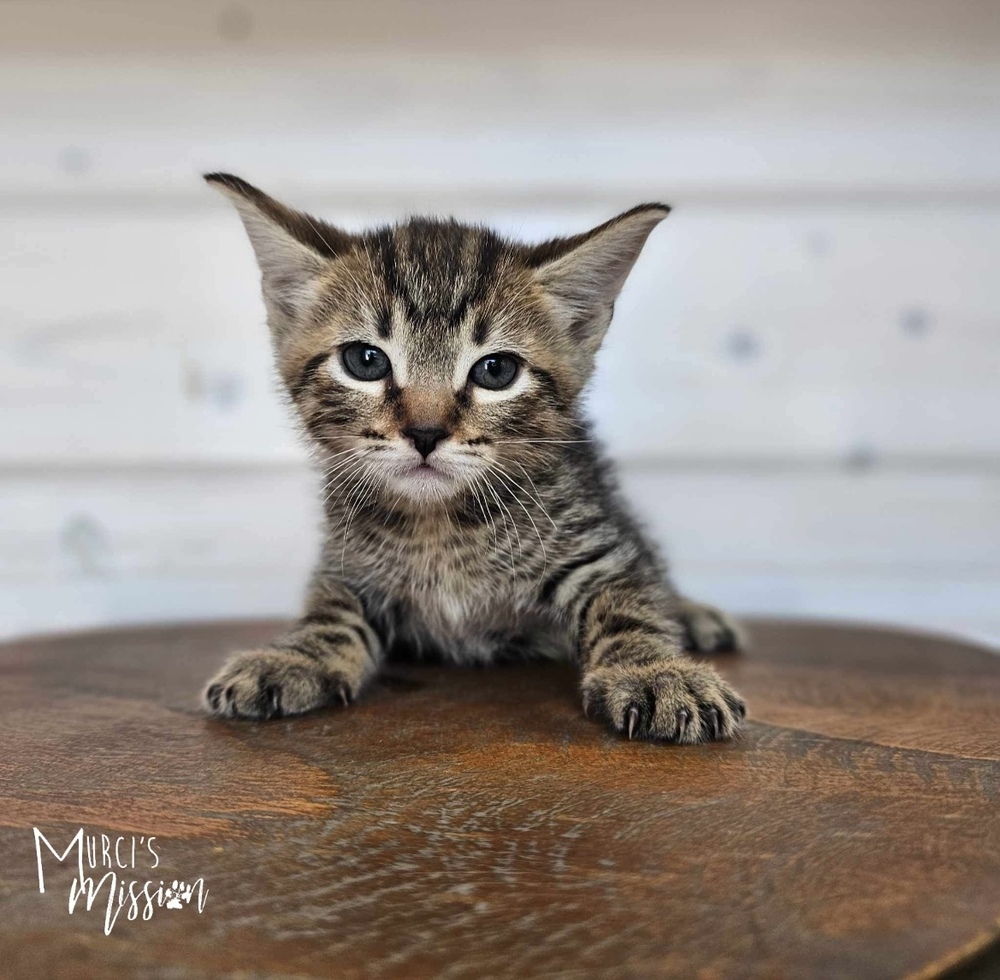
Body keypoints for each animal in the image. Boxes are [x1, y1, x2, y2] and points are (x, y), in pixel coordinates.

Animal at [203, 176, 748, 744]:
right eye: (365, 360)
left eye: (496, 370)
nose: (425, 433)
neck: (440, 528)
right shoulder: (346, 564)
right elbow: (329, 611)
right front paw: (292, 656)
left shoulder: (601, 543)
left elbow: (629, 602)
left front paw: (658, 672)